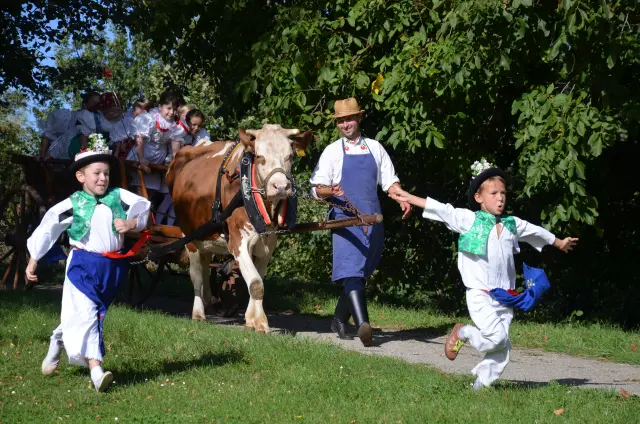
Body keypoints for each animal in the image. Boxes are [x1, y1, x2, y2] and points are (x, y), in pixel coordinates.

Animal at [167, 124, 313, 332]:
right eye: (259, 156)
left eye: (290, 156)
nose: (281, 186)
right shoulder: (238, 242)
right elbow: (256, 284)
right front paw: (261, 323)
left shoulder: (268, 244)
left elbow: (255, 282)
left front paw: (251, 320)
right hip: (190, 237)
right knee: (196, 276)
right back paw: (198, 313)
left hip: (207, 238)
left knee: (205, 270)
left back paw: (208, 301)